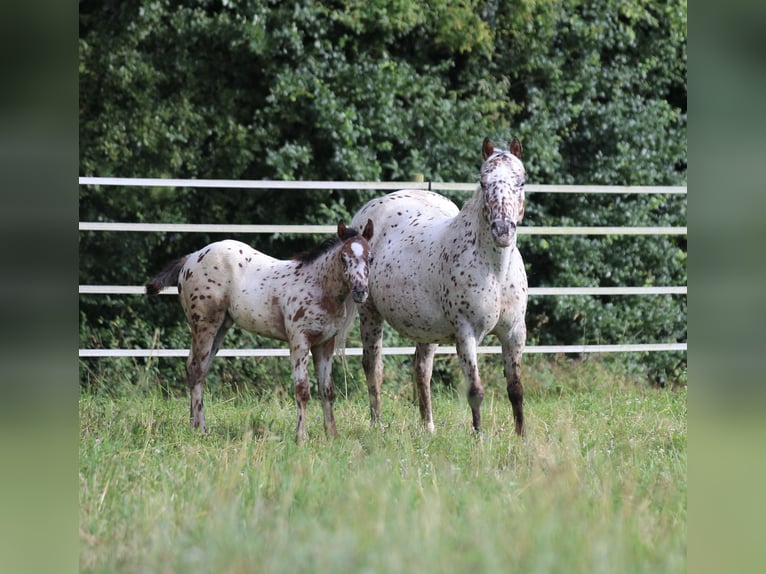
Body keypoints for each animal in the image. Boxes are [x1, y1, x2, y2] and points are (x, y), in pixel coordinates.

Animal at [147, 222, 376, 446]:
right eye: (343, 257)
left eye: (370, 257)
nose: (360, 291)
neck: (319, 287)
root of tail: (192, 258)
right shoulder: (299, 340)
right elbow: (302, 389)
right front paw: (301, 437)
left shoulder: (325, 343)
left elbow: (327, 390)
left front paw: (332, 435)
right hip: (205, 324)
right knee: (196, 370)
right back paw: (201, 430)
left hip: (221, 327)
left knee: (196, 369)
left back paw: (193, 426)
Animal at [352, 138, 528, 436]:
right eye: (483, 182)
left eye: (521, 182)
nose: (502, 230)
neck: (496, 271)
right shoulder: (466, 333)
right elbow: (475, 391)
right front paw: (478, 437)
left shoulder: (514, 332)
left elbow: (515, 389)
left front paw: (522, 437)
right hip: (369, 313)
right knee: (372, 366)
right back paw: (377, 424)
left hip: (426, 329)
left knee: (422, 369)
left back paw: (429, 427)